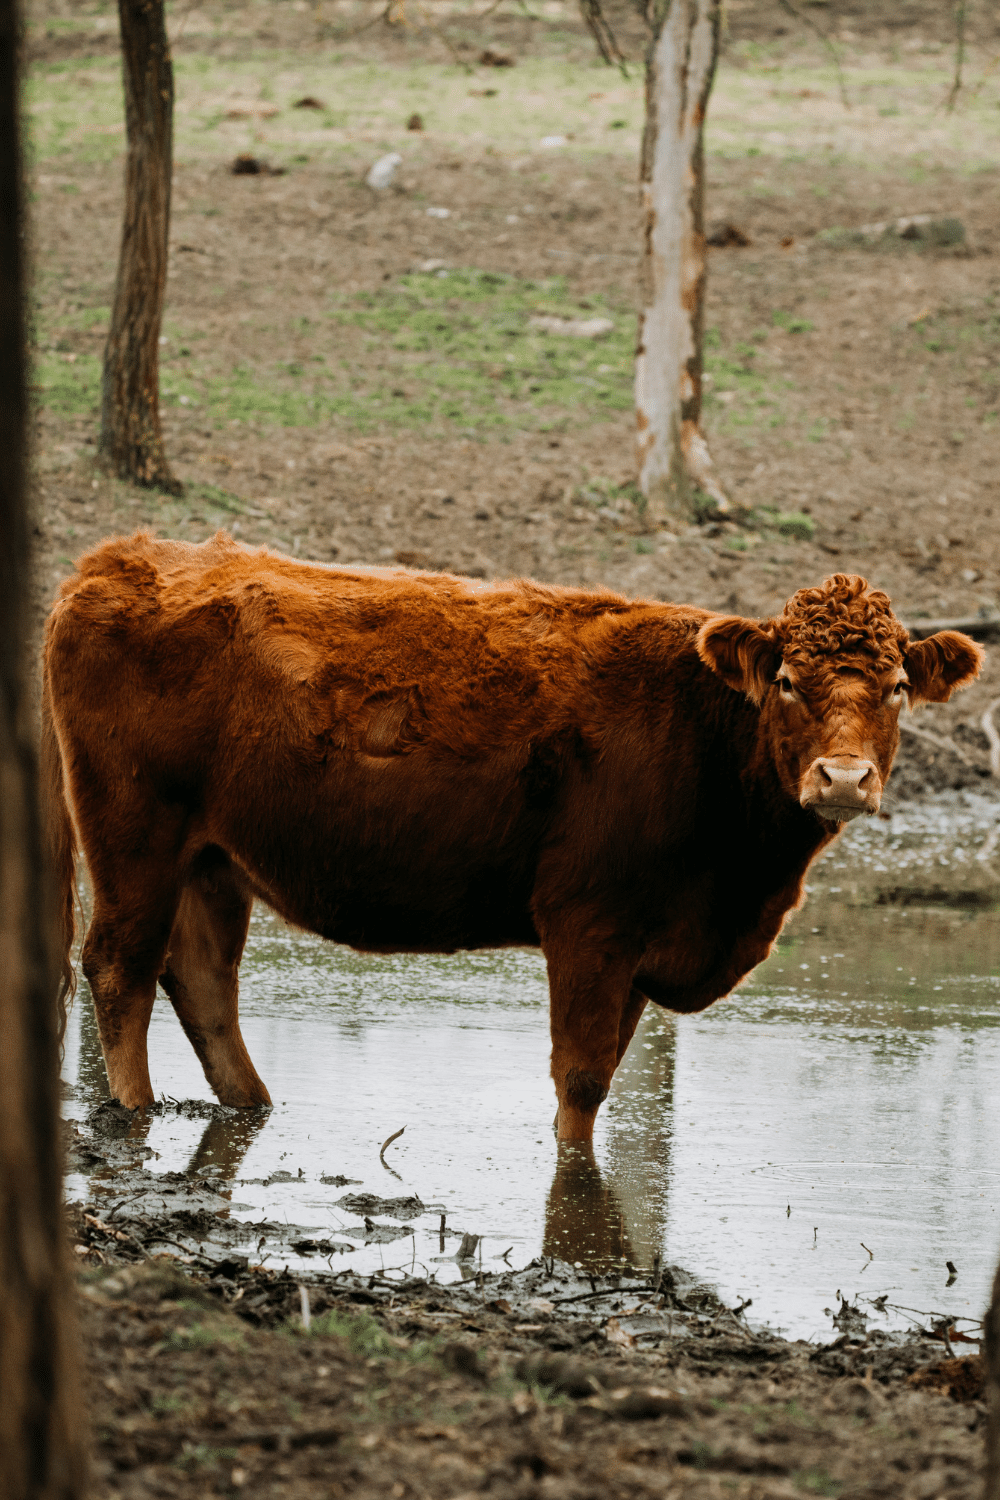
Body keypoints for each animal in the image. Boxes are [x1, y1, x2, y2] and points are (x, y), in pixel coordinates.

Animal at [43, 534, 983, 1128]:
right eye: (787, 681)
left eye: (899, 687)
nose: (844, 779)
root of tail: (114, 560)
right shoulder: (589, 923)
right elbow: (581, 1083)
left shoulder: (642, 945)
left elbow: (606, 1071)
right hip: (134, 833)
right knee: (119, 965)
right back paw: (132, 1111)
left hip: (212, 856)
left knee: (202, 978)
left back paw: (251, 1106)